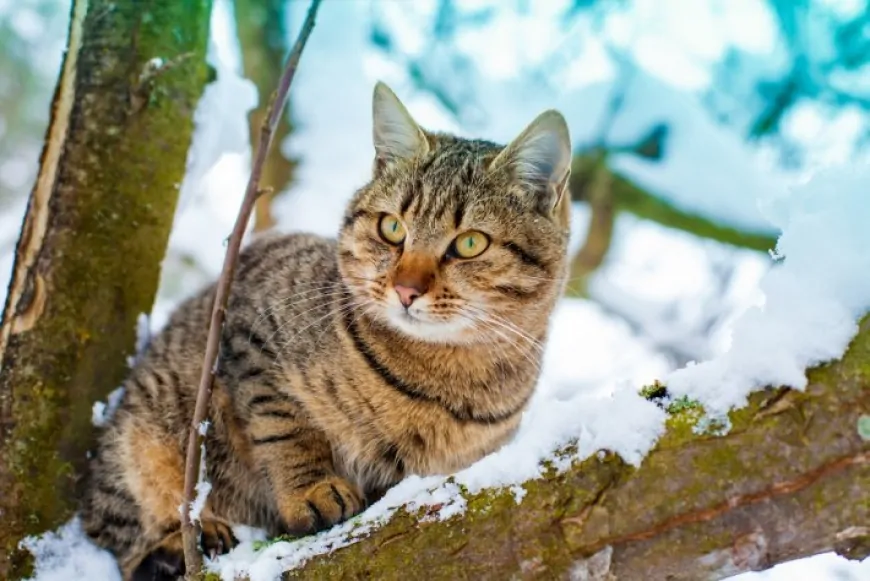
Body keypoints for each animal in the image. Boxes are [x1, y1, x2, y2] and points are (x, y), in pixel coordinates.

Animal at [82, 82, 572, 580]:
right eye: (392, 227)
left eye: (470, 243)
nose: (406, 289)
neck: (442, 376)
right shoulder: (249, 334)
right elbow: (285, 427)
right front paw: (311, 490)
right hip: (144, 435)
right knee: (118, 531)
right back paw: (180, 542)